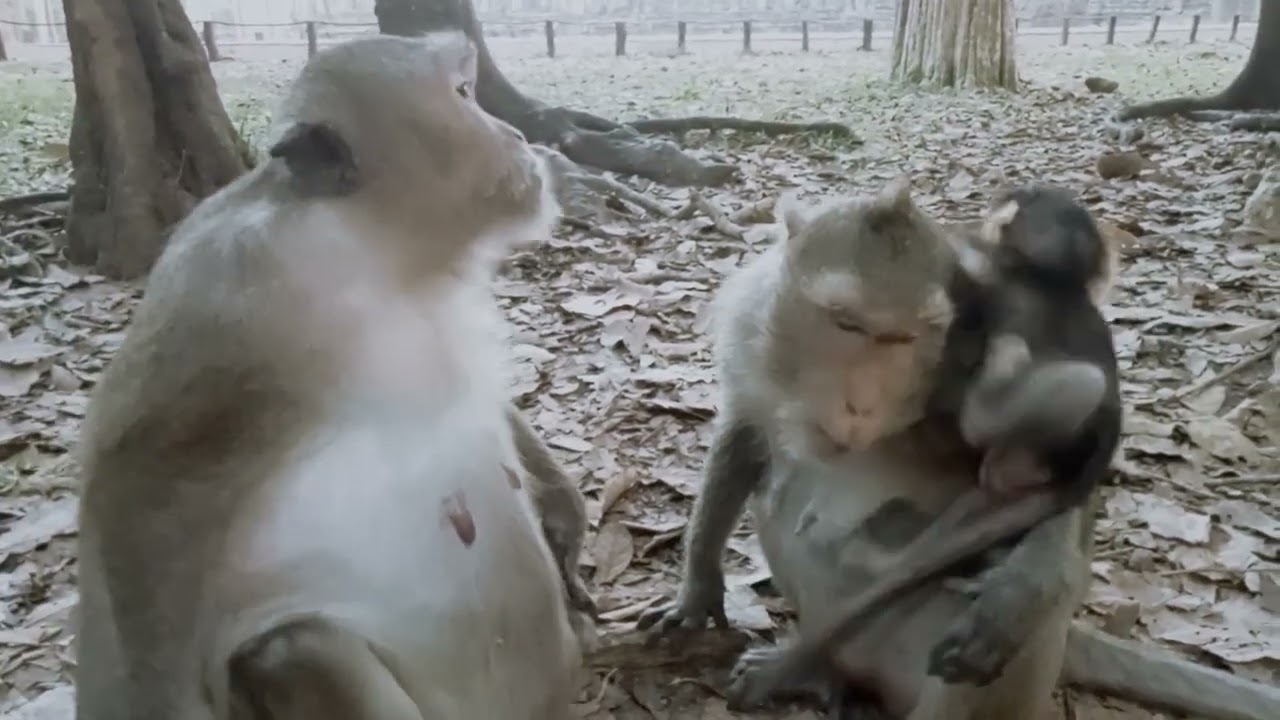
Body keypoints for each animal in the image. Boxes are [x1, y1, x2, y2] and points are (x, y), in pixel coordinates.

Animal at [73, 33, 593, 720]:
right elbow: (132, 499)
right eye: (463, 95)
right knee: (295, 646)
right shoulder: (225, 287)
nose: (515, 133)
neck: (382, 251)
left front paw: (567, 519)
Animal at [637, 179, 1280, 720]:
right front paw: (697, 587)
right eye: (847, 323)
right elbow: (743, 433)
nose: (861, 405)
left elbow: (1064, 494)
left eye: (908, 336)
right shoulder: (751, 331)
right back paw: (812, 667)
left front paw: (1023, 588)